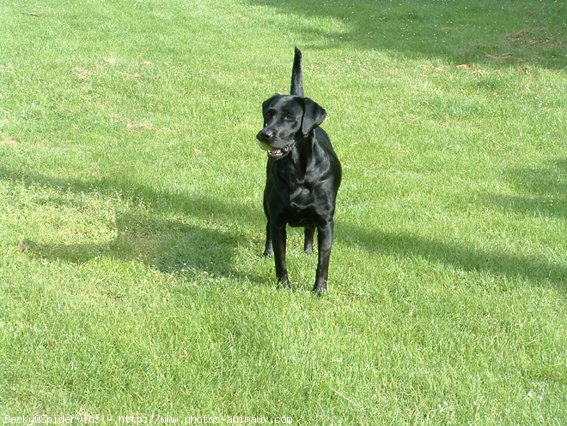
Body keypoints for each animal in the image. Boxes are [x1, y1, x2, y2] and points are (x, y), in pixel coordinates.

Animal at [258, 46, 342, 292]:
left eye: (289, 117)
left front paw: (319, 290)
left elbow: (323, 261)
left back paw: (308, 250)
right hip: (266, 203)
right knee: (267, 227)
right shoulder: (278, 219)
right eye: (269, 113)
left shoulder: (326, 222)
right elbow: (280, 258)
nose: (263, 134)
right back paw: (266, 251)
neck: (298, 172)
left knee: (309, 229)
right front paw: (283, 286)